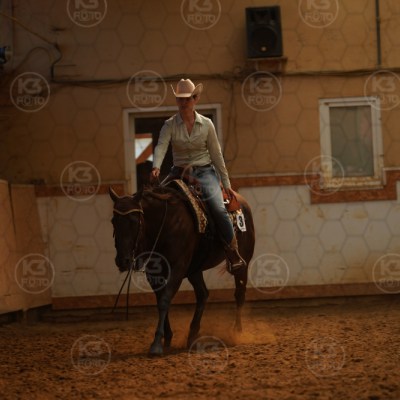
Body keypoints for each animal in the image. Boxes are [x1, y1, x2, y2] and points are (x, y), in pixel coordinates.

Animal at [109, 183, 255, 355]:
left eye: (133, 221)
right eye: (113, 221)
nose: (122, 260)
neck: (167, 223)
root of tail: (241, 201)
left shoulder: (177, 269)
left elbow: (165, 300)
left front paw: (157, 343)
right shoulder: (154, 273)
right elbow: (160, 299)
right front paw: (167, 337)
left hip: (243, 262)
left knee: (239, 294)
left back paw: (236, 332)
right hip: (195, 269)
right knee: (203, 294)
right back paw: (192, 334)